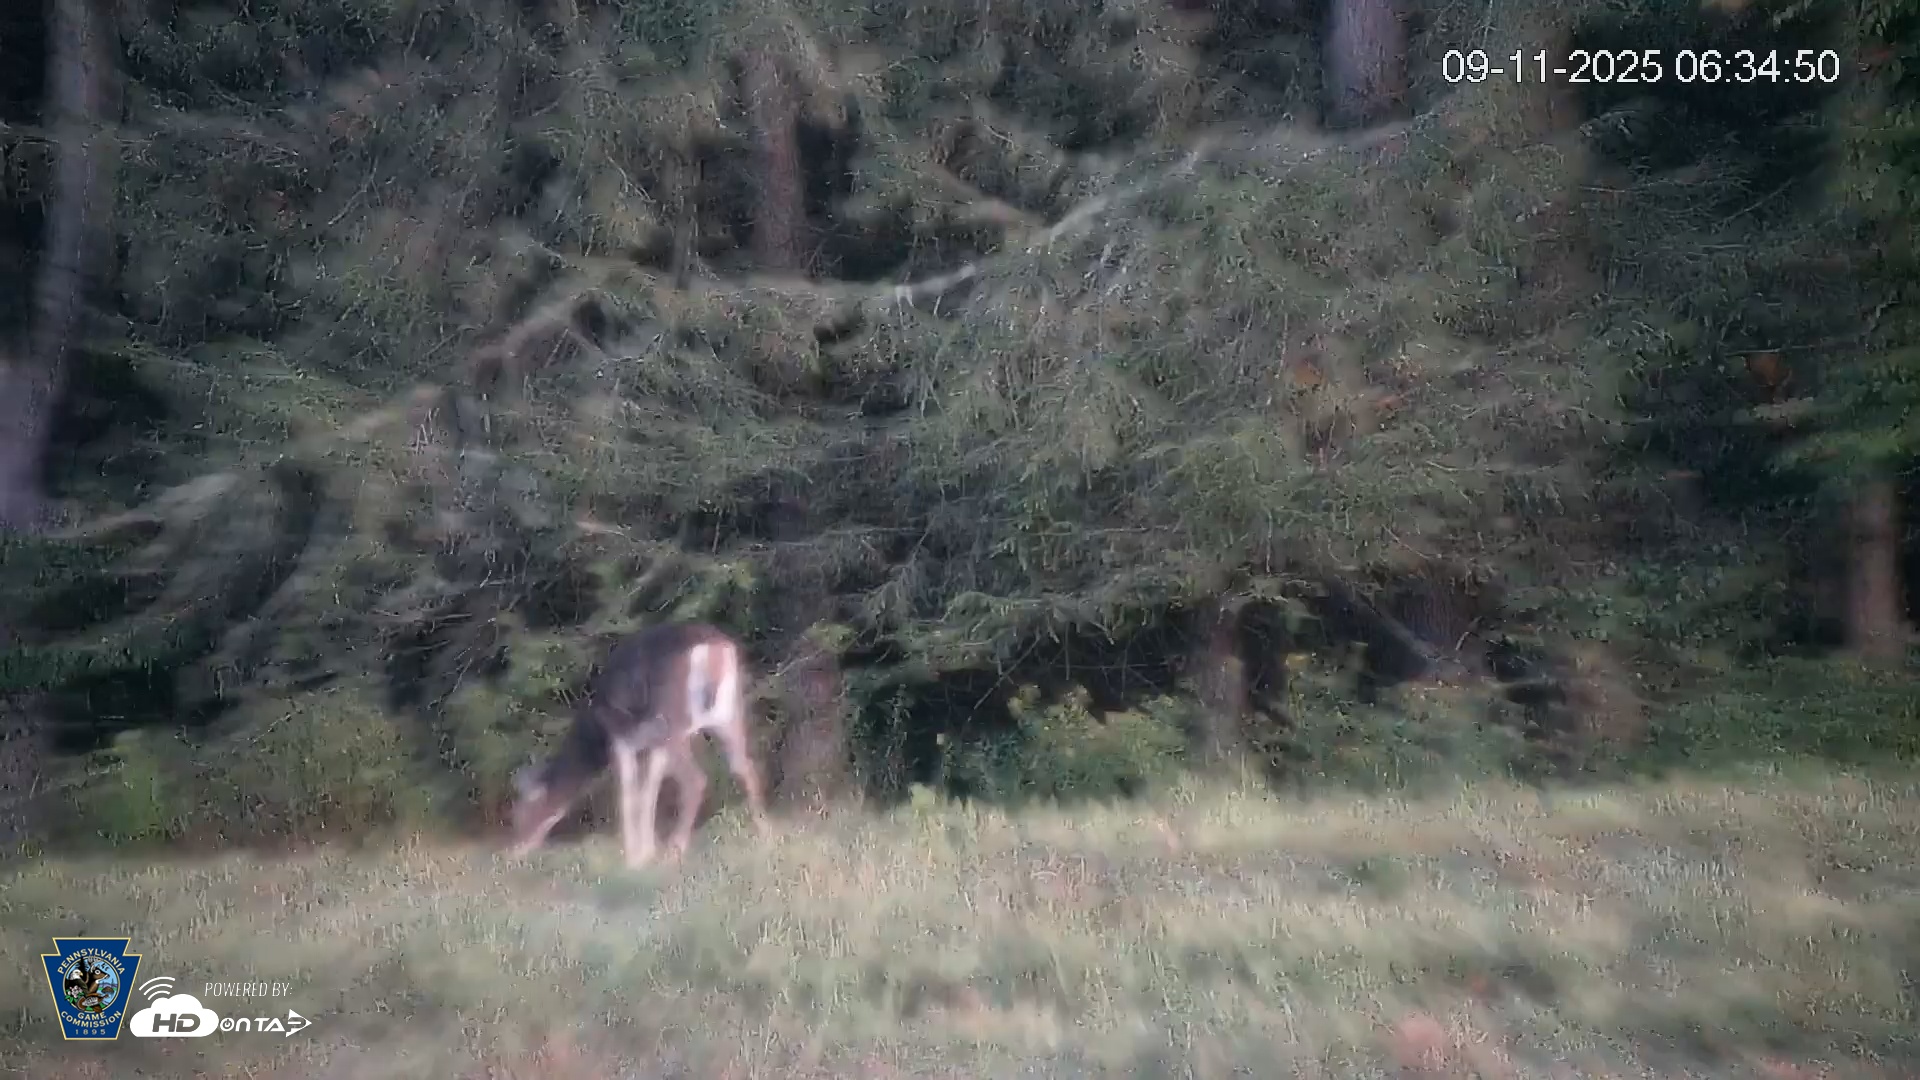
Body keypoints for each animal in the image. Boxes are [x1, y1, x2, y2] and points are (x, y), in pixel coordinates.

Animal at [509, 622, 771, 868]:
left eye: (519, 813)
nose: (512, 852)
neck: (594, 735)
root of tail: (717, 648)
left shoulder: (620, 737)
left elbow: (628, 796)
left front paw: (633, 860)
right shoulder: (650, 745)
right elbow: (648, 793)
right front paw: (646, 854)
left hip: (672, 720)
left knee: (696, 780)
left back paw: (674, 852)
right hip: (727, 714)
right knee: (744, 767)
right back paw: (766, 834)